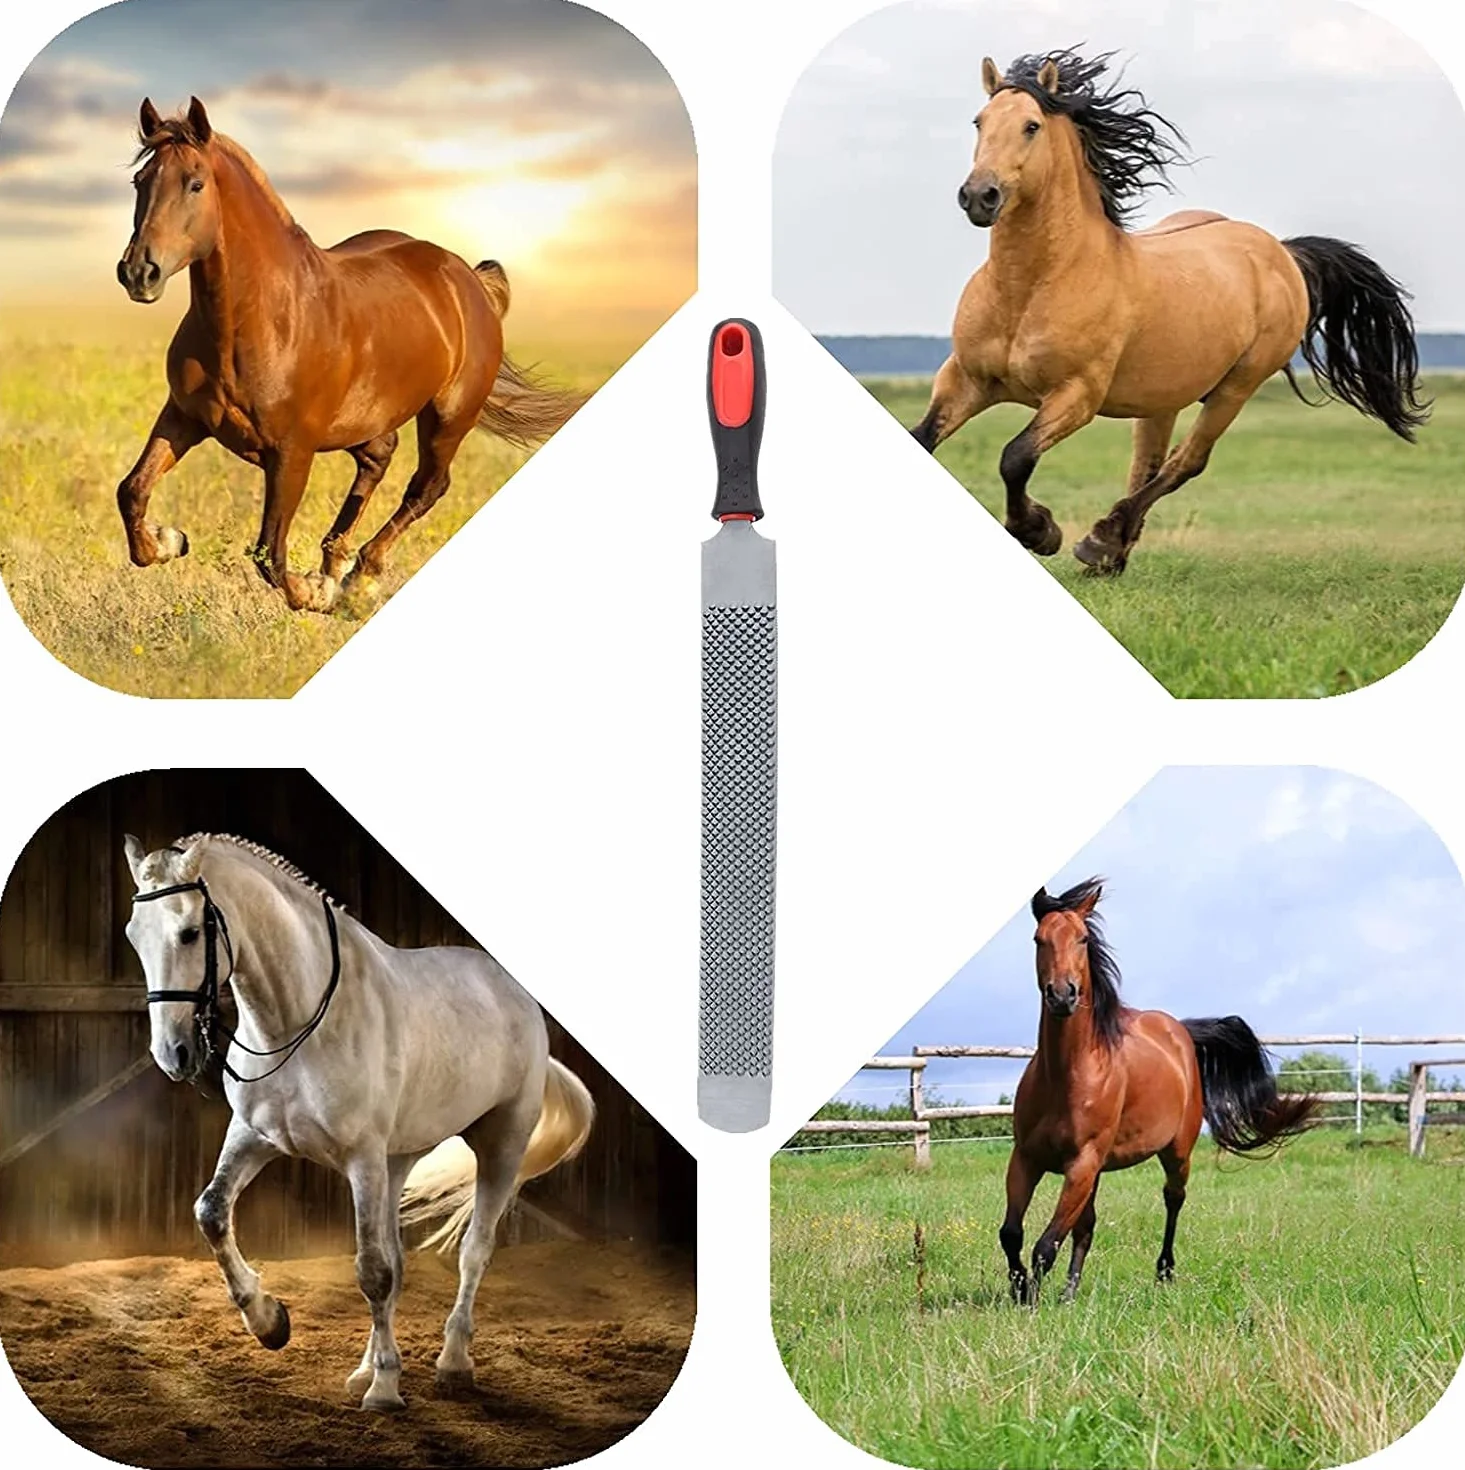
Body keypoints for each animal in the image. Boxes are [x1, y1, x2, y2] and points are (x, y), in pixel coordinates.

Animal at [115, 97, 582, 612]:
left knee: (427, 487)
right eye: (140, 182)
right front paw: (168, 540)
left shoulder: (292, 451)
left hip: (447, 418)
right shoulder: (184, 417)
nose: (138, 273)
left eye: (195, 183)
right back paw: (337, 561)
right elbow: (132, 491)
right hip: (366, 420)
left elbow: (269, 552)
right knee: (380, 456)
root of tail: (469, 280)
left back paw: (359, 576)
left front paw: (315, 592)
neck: (260, 321)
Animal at [123, 831, 594, 1411]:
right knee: (398, 1259)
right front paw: (270, 1323)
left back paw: (452, 1363)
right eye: (134, 936)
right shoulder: (256, 1137)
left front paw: (386, 1391)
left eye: (190, 933)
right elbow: (211, 1212)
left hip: (499, 1144)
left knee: (473, 1252)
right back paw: (364, 1368)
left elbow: (372, 1272)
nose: (173, 1054)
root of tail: (517, 995)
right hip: (398, 1160)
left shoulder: (362, 1159)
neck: (299, 1022)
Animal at [911, 50, 1429, 575]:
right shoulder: (966, 380)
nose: (980, 196)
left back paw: (1101, 541)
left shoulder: (1075, 396)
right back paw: (1111, 555)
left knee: (1186, 463)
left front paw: (1040, 531)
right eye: (980, 121)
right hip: (1162, 398)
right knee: (1148, 465)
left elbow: (1015, 458)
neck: (1032, 288)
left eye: (1031, 126)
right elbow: (924, 440)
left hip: (1236, 388)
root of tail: (1282, 252)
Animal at [1000, 878, 1316, 1305]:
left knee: (1173, 1199)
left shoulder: (1081, 1164)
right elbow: (1012, 1234)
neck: (1066, 1075)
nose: (1062, 995)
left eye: (1083, 939)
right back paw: (1070, 1292)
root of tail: (1179, 1030)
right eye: (1039, 939)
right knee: (1086, 1226)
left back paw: (1164, 1272)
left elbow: (1045, 1245)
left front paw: (1030, 1302)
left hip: (1176, 1152)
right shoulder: (1028, 1158)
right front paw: (1022, 1291)